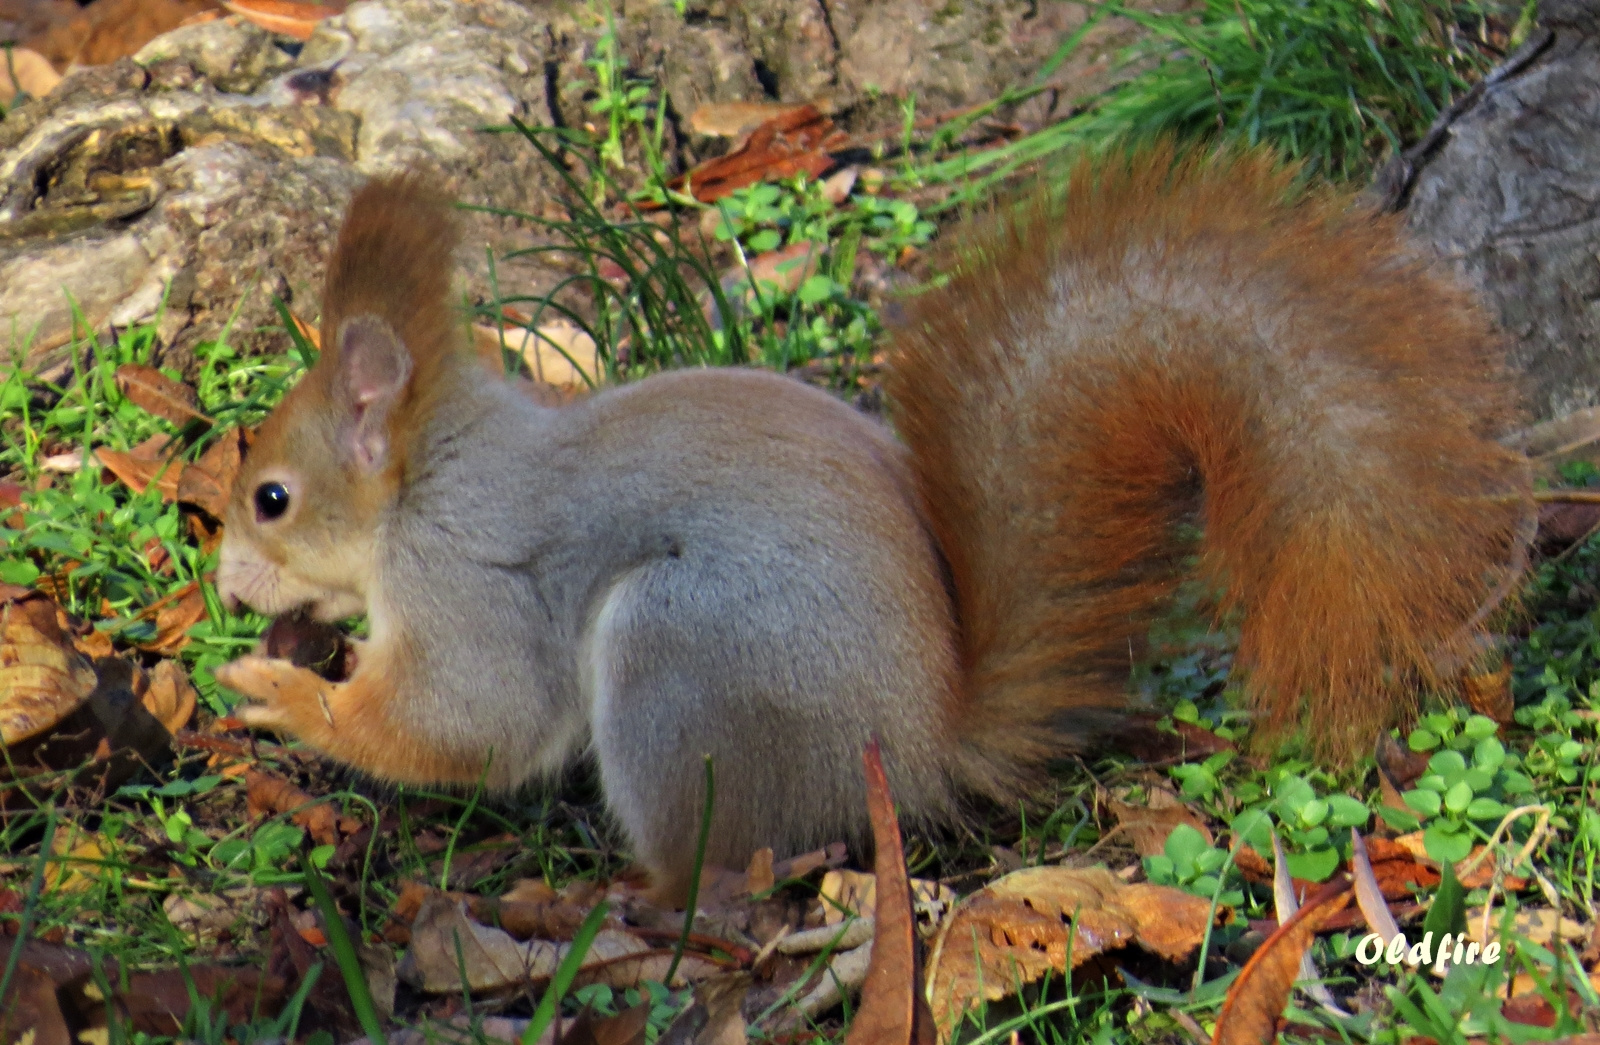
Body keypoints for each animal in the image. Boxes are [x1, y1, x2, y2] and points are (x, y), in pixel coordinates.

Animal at [209, 144, 1523, 896]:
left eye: (272, 498)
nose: (225, 586)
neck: (424, 479)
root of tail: (923, 742)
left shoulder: (472, 584)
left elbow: (463, 725)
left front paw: (286, 695)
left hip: (681, 659)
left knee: (732, 867)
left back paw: (626, 900)